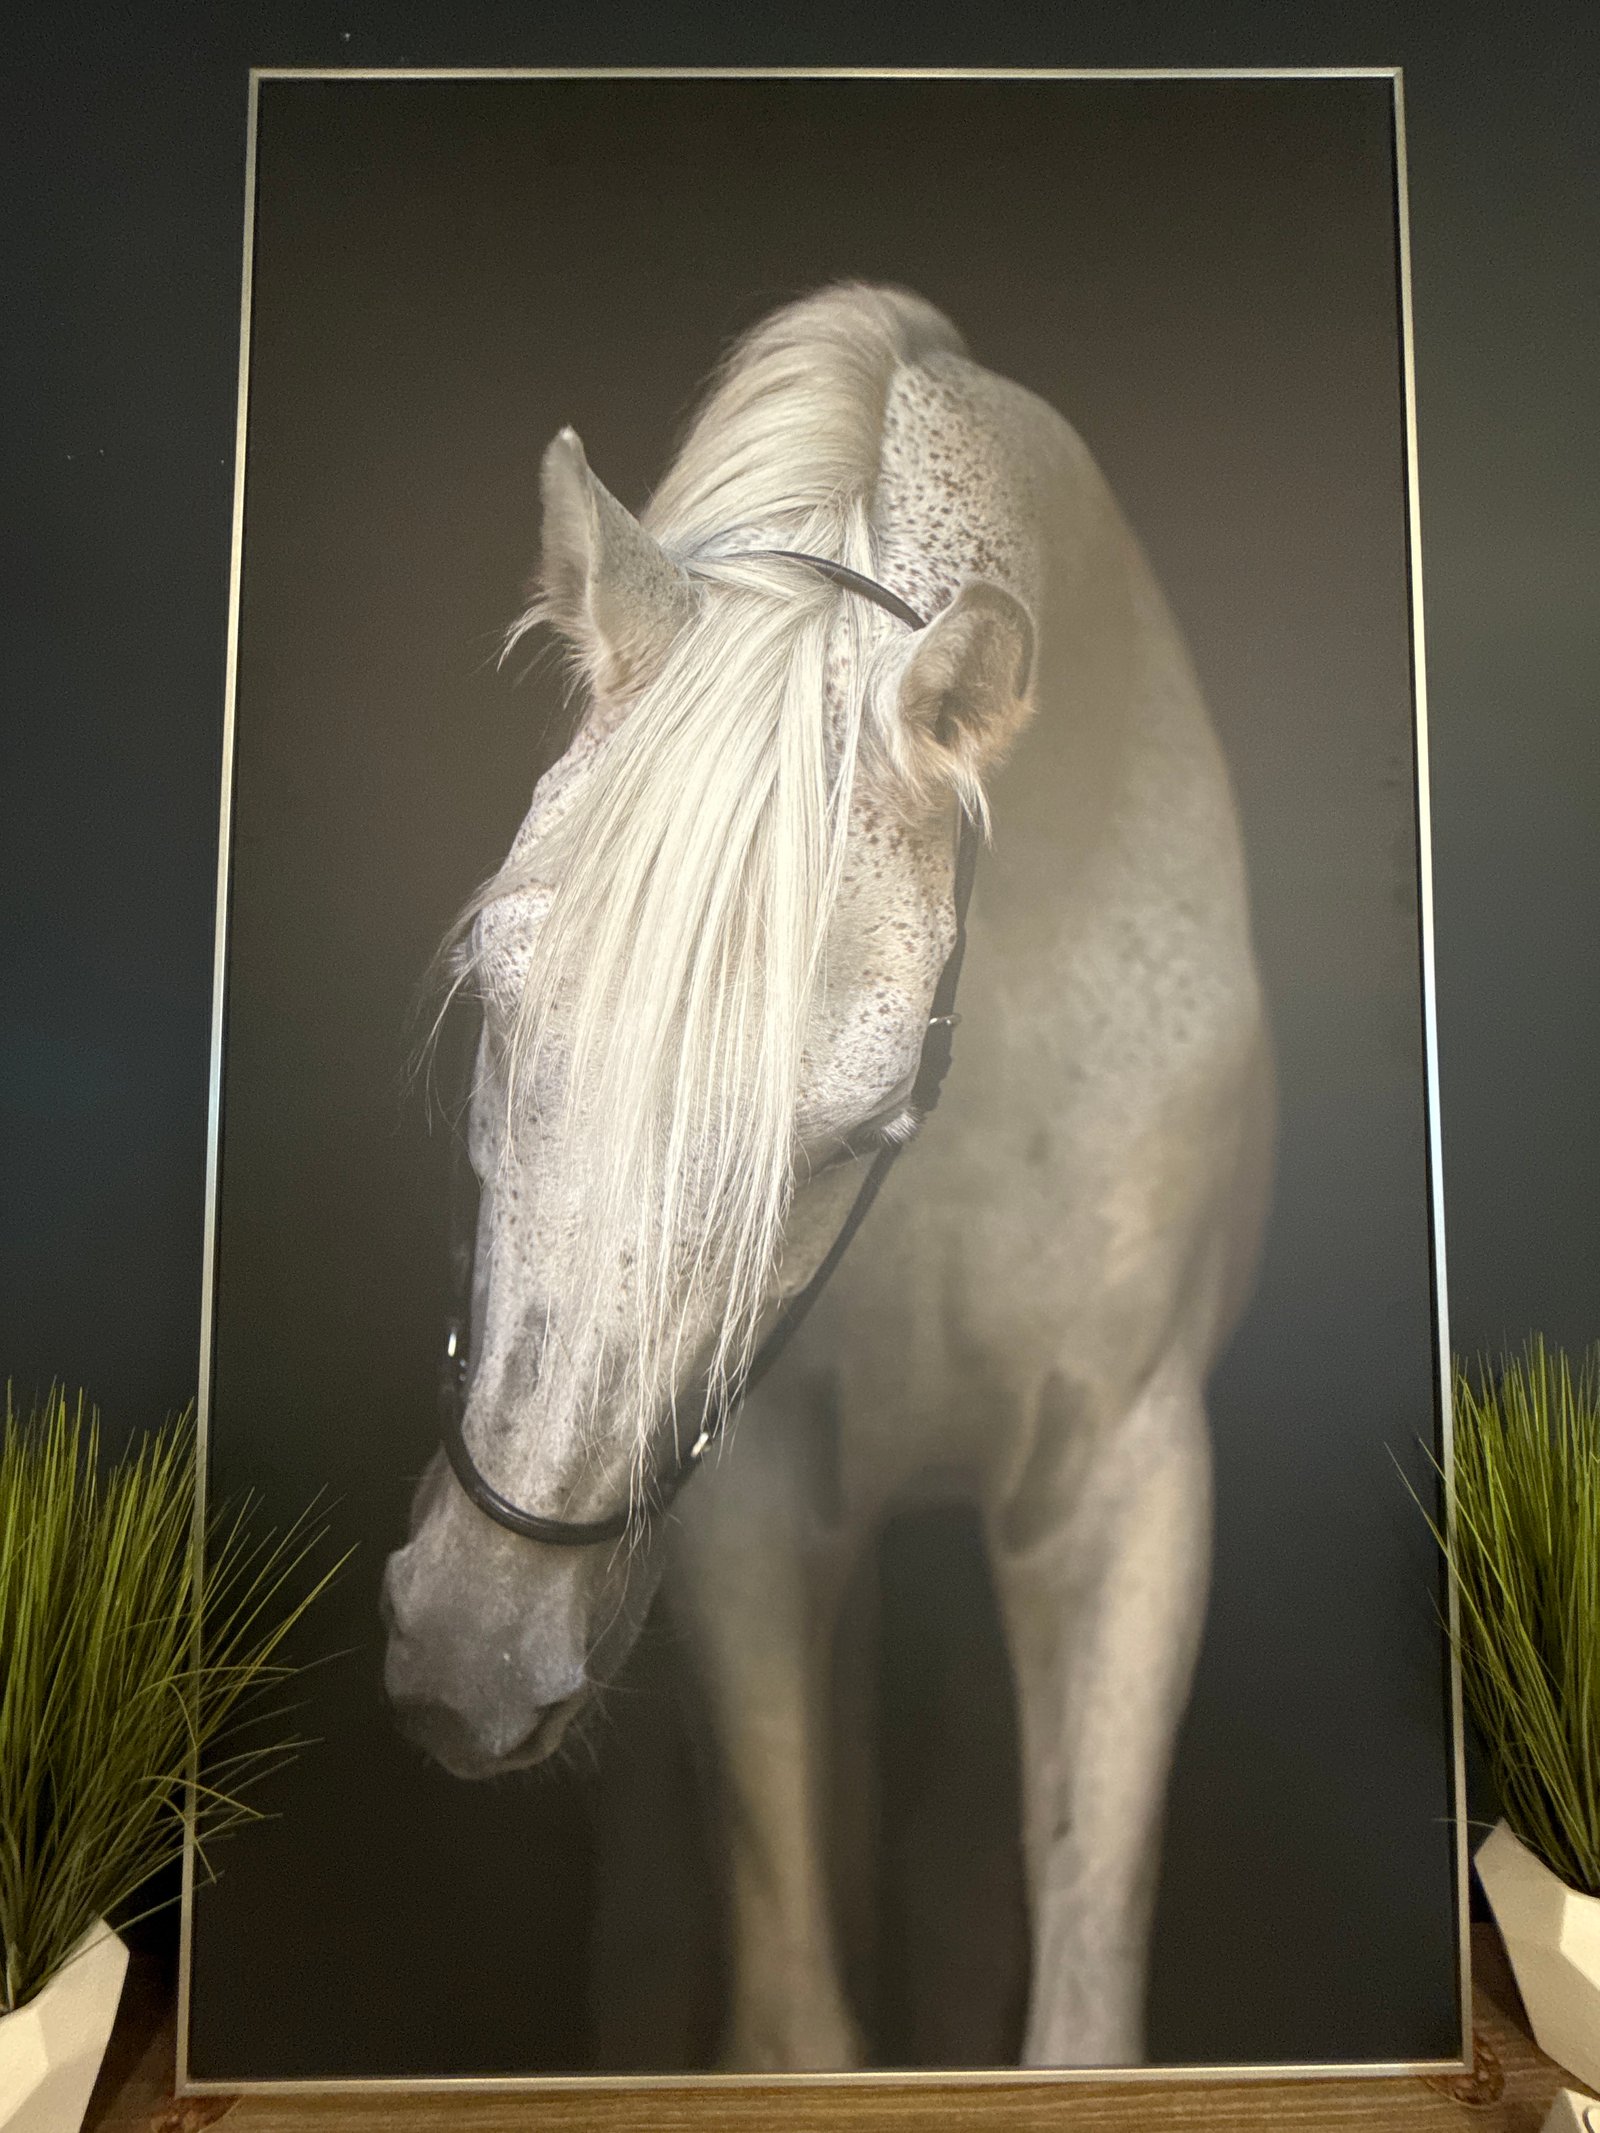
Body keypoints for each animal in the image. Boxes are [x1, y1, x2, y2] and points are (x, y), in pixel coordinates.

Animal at [381, 282, 1273, 2071]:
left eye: (857, 1133)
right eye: (496, 1006)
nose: (470, 1645)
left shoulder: (1125, 1490)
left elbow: (1078, 2011)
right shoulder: (756, 1500)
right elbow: (794, 2013)